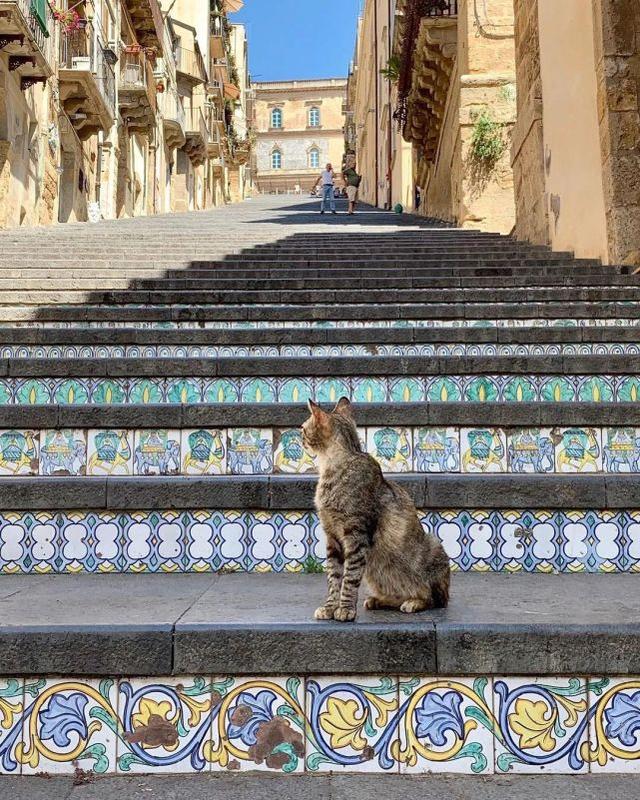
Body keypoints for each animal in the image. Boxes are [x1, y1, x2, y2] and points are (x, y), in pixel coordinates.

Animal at [302, 396, 448, 620]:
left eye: (303, 428)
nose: (299, 437)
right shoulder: (332, 538)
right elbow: (333, 578)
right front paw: (329, 607)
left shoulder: (356, 535)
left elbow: (350, 577)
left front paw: (345, 609)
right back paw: (379, 600)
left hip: (433, 547)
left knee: (432, 598)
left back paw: (414, 602)